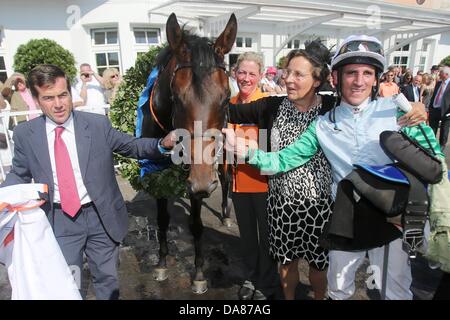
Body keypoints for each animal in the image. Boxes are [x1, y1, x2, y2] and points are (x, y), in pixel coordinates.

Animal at [142, 11, 237, 292]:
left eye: (225, 97)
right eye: (176, 98)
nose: (204, 183)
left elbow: (196, 224)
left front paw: (199, 274)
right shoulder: (158, 175)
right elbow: (162, 219)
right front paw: (162, 263)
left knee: (226, 179)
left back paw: (226, 214)